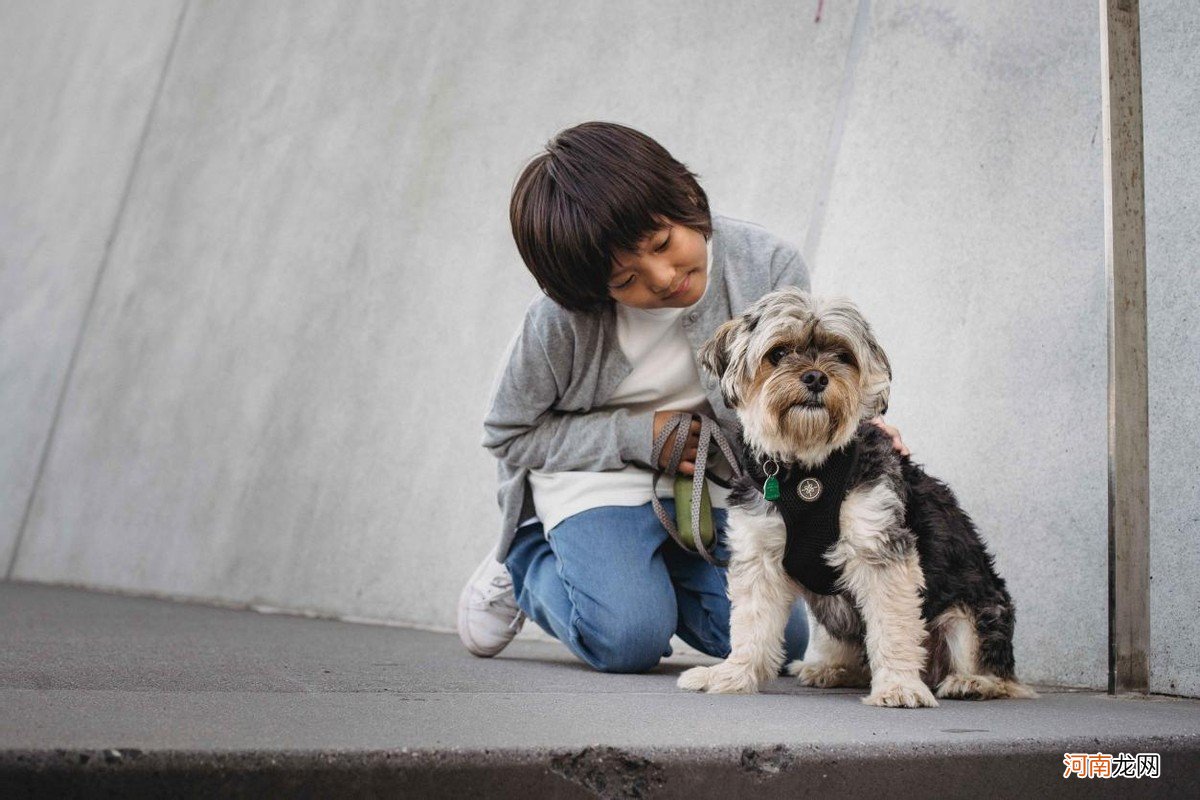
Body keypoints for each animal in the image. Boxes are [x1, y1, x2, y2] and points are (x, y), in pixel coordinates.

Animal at [681, 286, 1036, 705]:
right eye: (778, 353)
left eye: (842, 355)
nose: (816, 376)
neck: (808, 470)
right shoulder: (759, 557)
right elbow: (751, 625)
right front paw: (733, 674)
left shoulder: (879, 547)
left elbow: (894, 624)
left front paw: (899, 685)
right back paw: (831, 669)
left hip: (973, 614)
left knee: (998, 672)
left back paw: (971, 682)